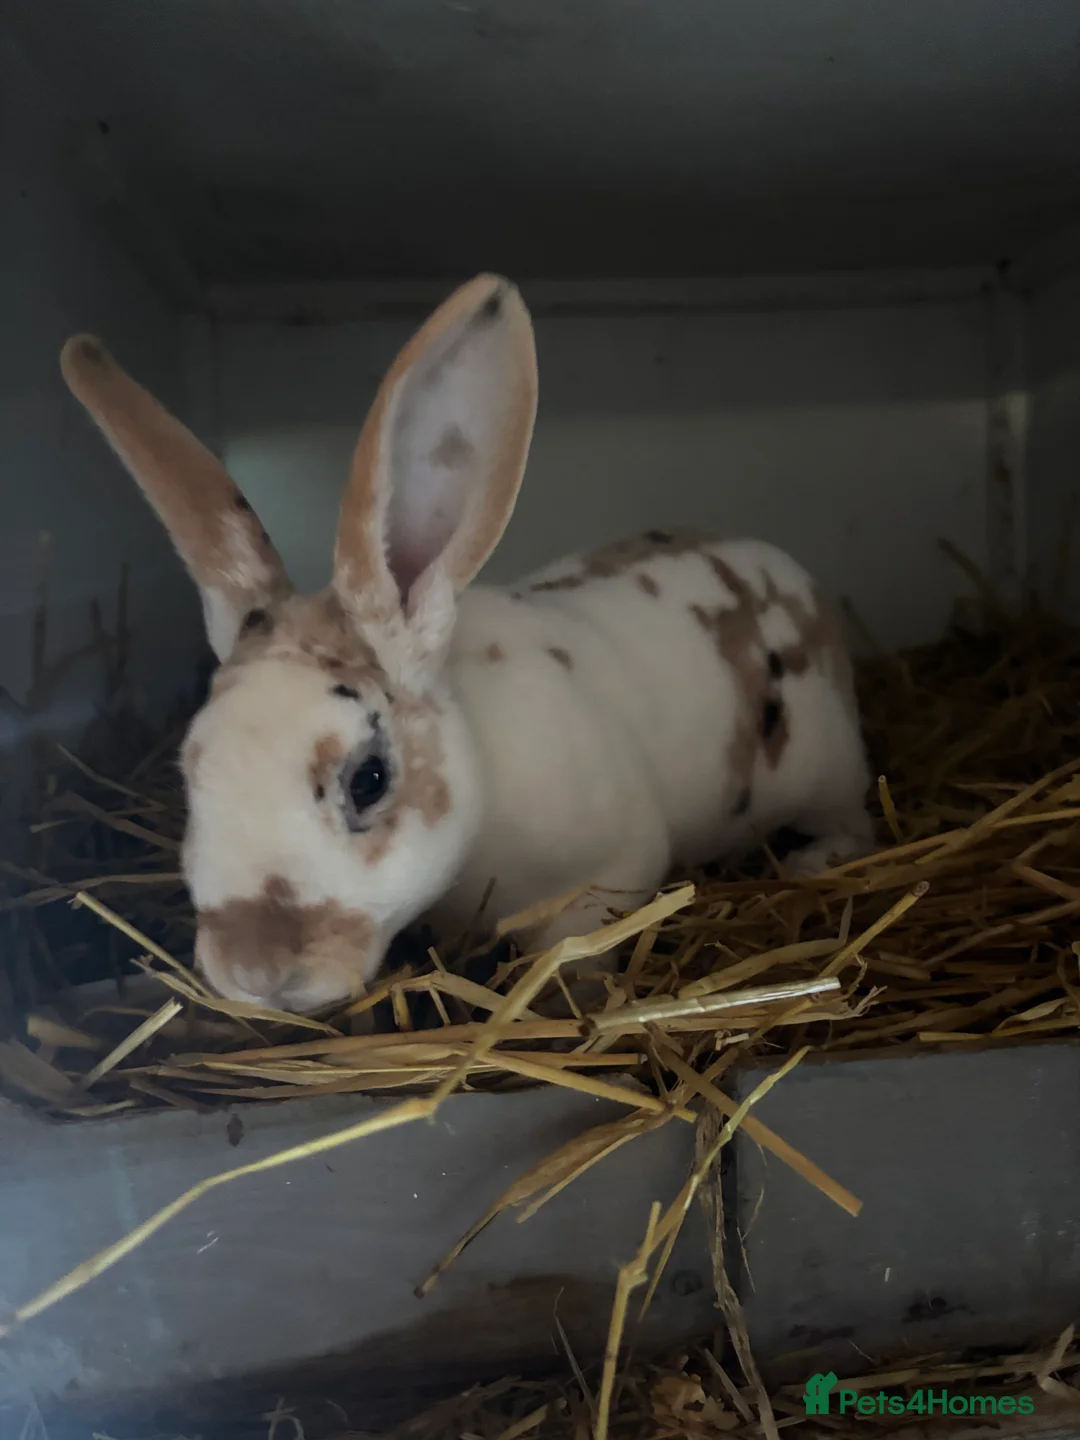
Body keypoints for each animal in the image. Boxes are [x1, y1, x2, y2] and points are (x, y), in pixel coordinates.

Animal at [59, 273, 873, 1016]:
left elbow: (577, 957)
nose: (258, 973)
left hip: (829, 770)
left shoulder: (606, 877)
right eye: (189, 770)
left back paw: (814, 860)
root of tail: (794, 575)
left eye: (369, 780)